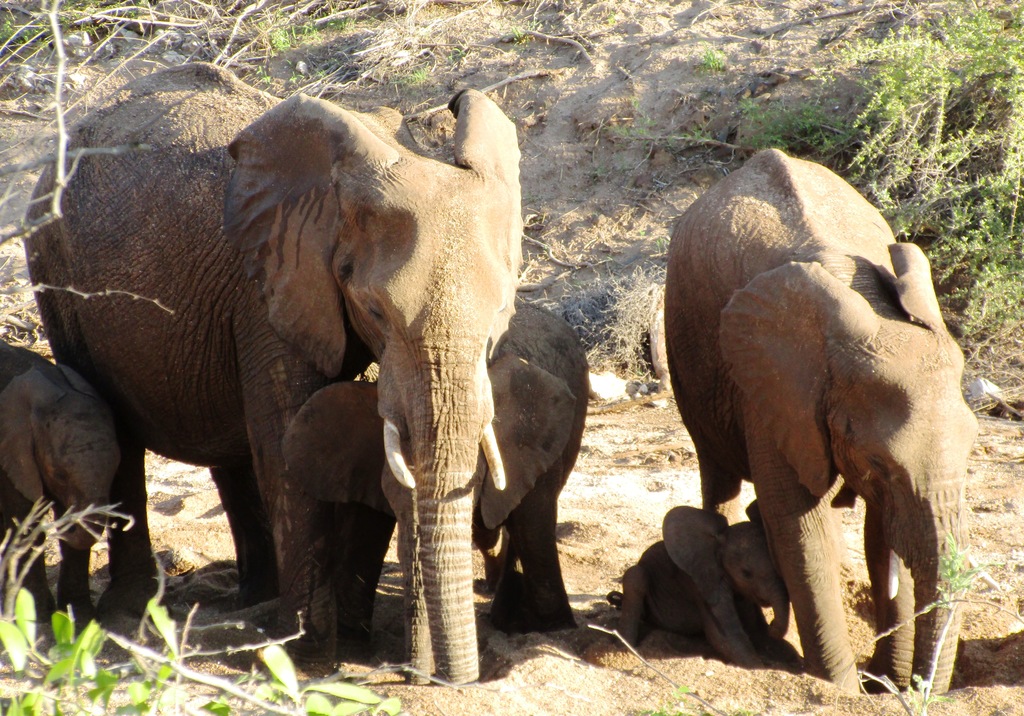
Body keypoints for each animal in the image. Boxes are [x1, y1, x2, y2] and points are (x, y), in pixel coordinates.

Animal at [0, 341, 120, 620]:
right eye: (59, 475)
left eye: (116, 469)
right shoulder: (10, 454)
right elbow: (26, 524)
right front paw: (34, 616)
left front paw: (78, 616)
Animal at [27, 62, 523, 682]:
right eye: (376, 310)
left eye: (499, 317)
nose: (436, 679)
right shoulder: (270, 287)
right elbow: (289, 444)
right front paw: (307, 656)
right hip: (52, 267)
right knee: (118, 431)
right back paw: (130, 614)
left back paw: (254, 600)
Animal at [608, 503, 791, 668]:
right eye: (746, 573)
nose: (773, 623)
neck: (717, 541)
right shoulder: (700, 583)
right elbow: (724, 636)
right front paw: (759, 667)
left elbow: (754, 629)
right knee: (634, 576)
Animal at [663, 148, 978, 693]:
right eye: (879, 463)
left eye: (974, 444)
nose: (911, 691)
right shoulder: (770, 391)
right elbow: (799, 528)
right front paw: (842, 688)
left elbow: (881, 534)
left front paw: (882, 681)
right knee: (717, 474)